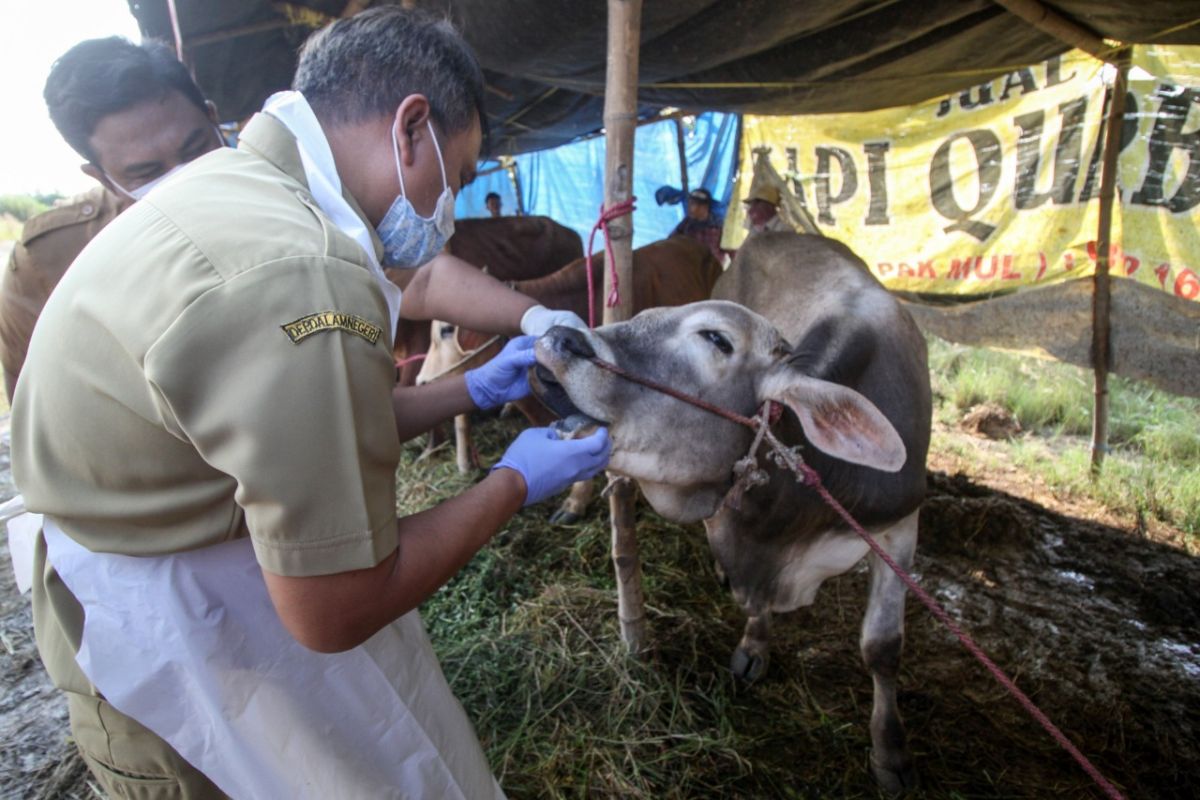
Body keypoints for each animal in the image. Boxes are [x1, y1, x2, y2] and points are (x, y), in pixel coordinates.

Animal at [535, 227, 936, 791]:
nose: (559, 338)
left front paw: (891, 753)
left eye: (717, 339)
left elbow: (882, 646)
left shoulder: (899, 528)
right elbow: (754, 603)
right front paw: (754, 647)